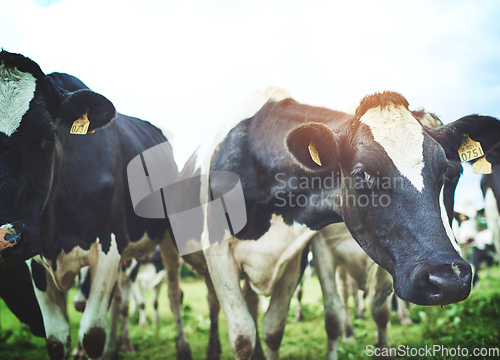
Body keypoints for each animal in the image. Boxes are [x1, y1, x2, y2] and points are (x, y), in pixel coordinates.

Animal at [0, 50, 189, 360]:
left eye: (49, 135)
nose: (6, 237)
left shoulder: (107, 248)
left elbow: (92, 336)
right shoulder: (36, 261)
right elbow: (57, 340)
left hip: (169, 236)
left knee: (173, 292)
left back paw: (181, 347)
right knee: (121, 299)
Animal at [190, 87, 500, 360]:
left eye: (448, 171)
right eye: (362, 174)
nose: (448, 279)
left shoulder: (298, 256)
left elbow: (275, 330)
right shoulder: (220, 254)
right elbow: (245, 336)